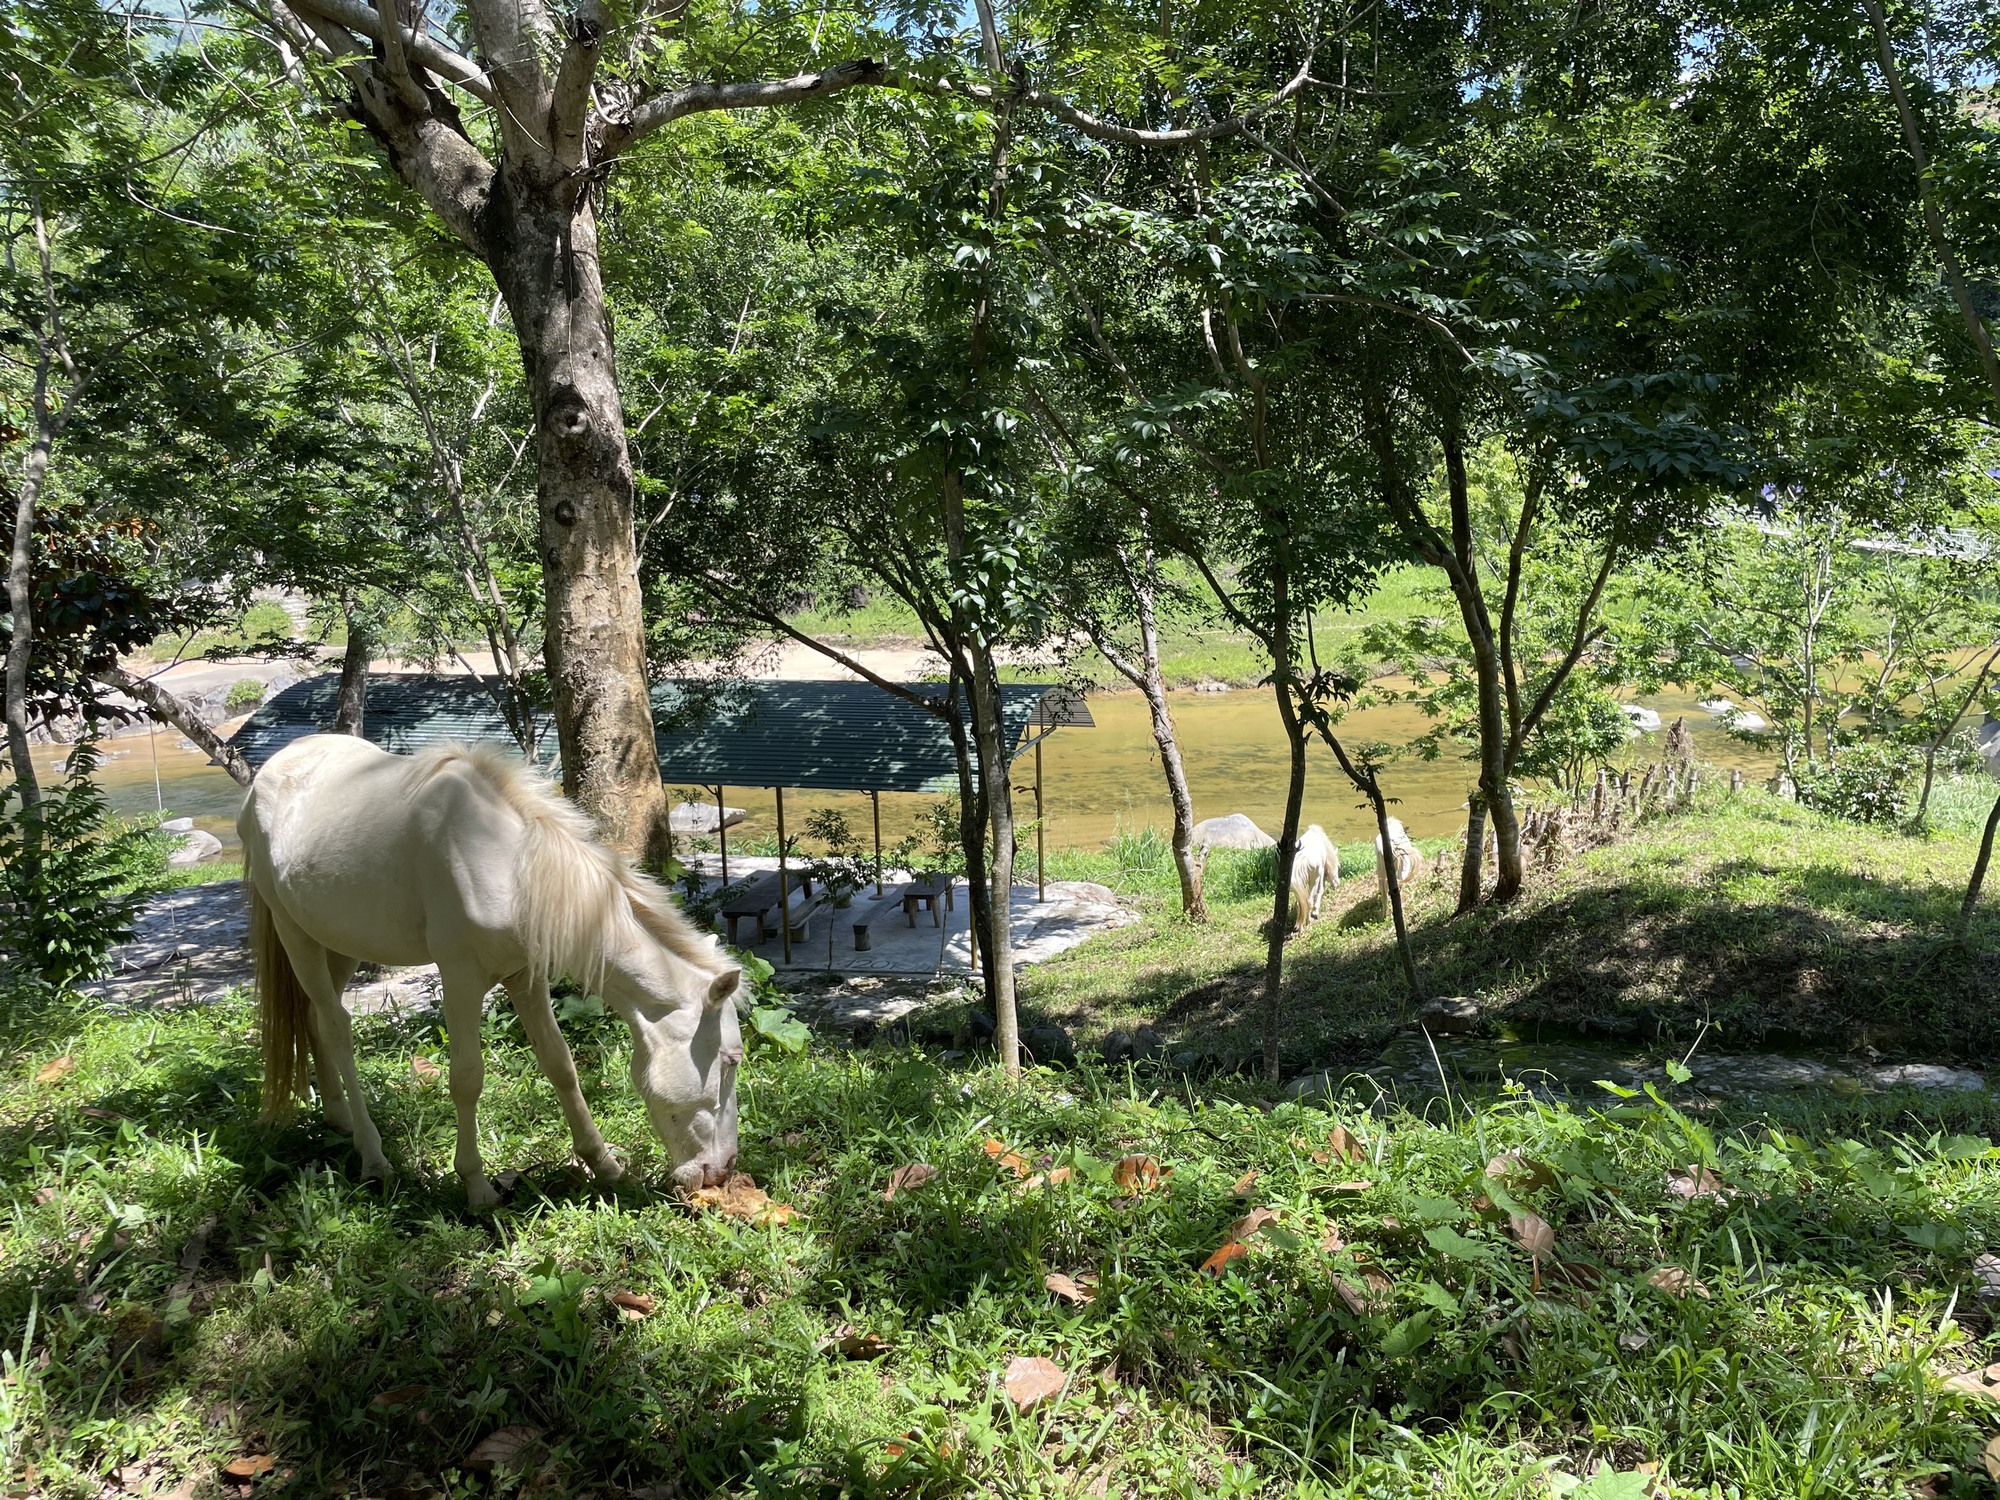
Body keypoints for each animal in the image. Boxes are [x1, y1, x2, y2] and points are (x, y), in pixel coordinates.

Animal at [240, 740, 744, 1208]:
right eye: (729, 1062)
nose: (721, 1170)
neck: (508, 865)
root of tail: (272, 768)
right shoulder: (460, 980)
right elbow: (467, 1078)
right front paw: (477, 1186)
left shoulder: (526, 976)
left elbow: (560, 1064)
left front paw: (604, 1165)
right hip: (295, 935)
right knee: (335, 1028)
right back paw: (373, 1157)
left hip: (339, 944)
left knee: (313, 1021)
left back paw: (338, 1117)